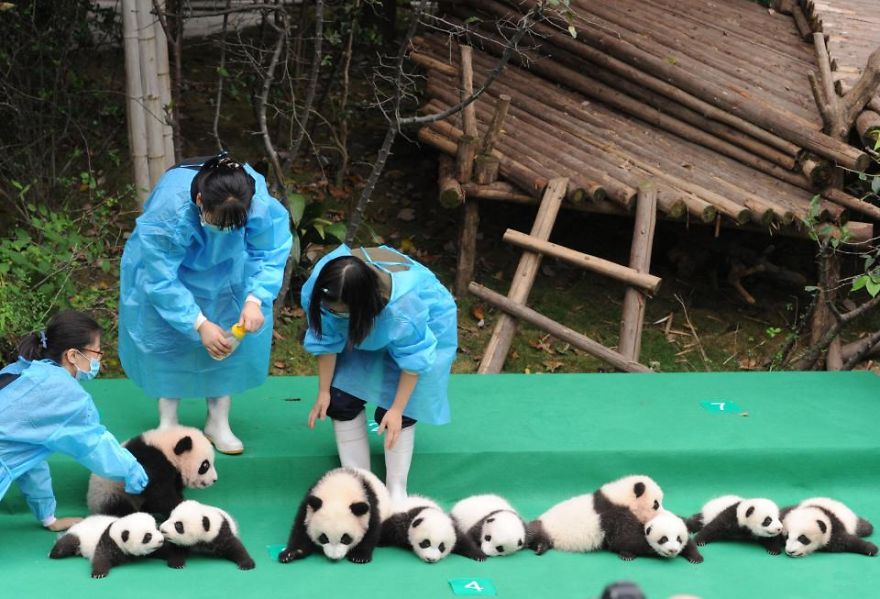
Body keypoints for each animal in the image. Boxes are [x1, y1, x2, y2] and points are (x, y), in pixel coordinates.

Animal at [87, 426, 218, 517]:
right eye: (205, 466)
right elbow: (160, 494)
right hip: (110, 492)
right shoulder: (151, 463)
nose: (214, 480)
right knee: (120, 509)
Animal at [527, 474, 664, 555]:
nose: (662, 513)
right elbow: (626, 539)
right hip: (546, 526)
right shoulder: (614, 515)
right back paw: (540, 546)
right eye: (656, 504)